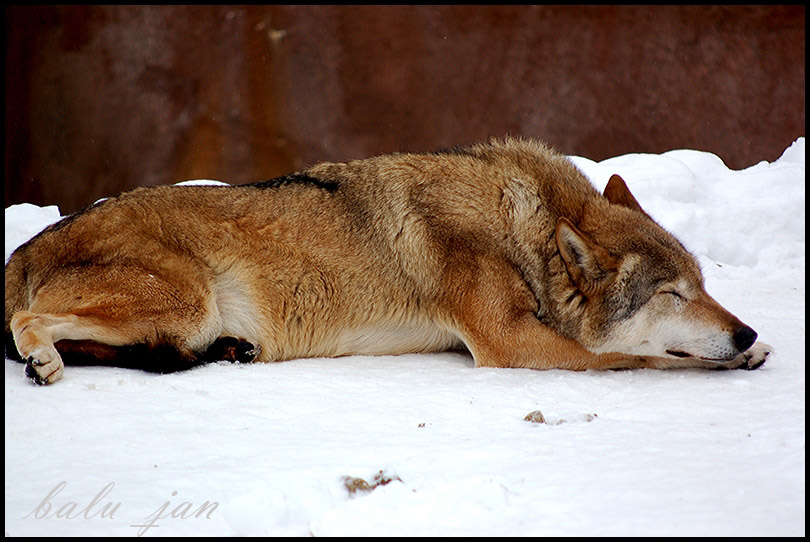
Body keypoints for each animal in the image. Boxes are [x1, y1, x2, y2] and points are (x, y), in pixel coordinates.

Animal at [3, 136, 768, 384]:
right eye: (671, 294)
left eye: (702, 285)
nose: (745, 330)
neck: (517, 229)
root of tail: (27, 245)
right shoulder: (510, 344)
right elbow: (640, 358)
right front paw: (733, 361)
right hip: (183, 303)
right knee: (29, 322)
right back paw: (43, 361)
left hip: (181, 320)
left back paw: (229, 352)